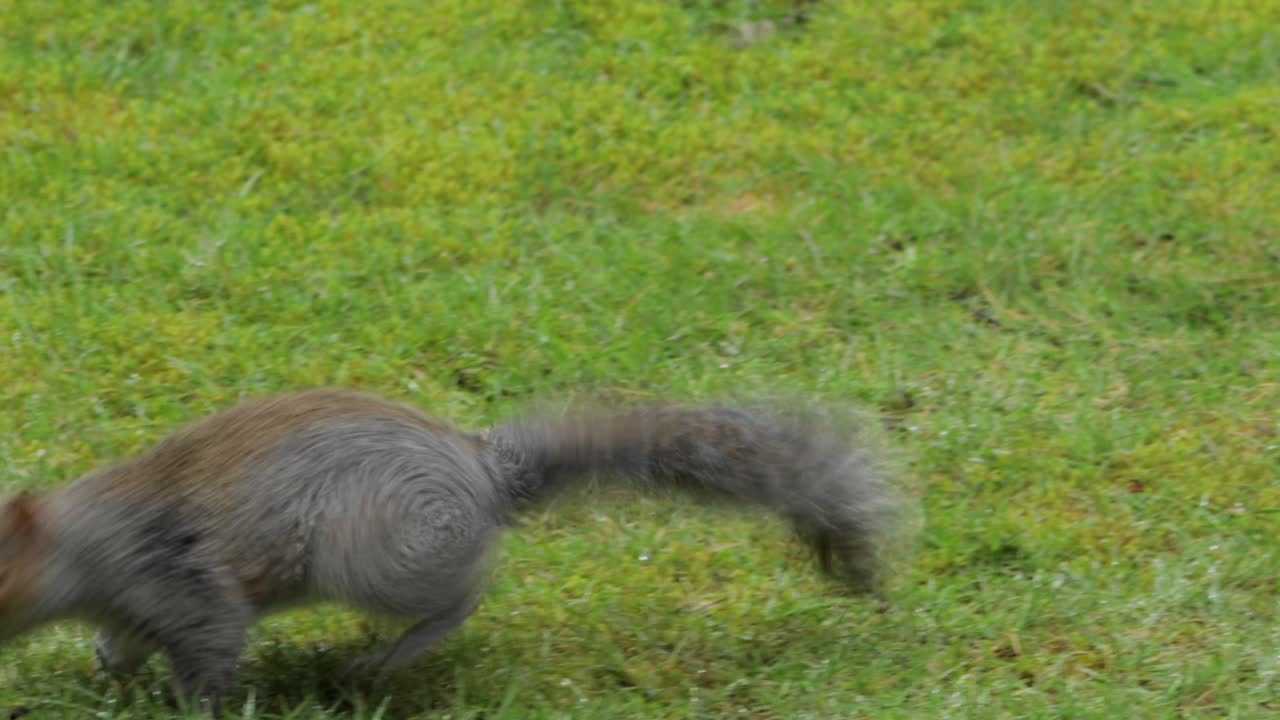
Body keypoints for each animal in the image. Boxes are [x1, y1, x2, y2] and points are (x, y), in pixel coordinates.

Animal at [0, 389, 914, 714]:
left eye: (0, 576)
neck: (90, 539)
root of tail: (481, 470)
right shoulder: (141, 599)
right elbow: (125, 640)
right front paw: (109, 666)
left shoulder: (185, 586)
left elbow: (213, 654)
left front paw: (191, 707)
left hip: (380, 552)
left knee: (461, 596)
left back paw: (376, 663)